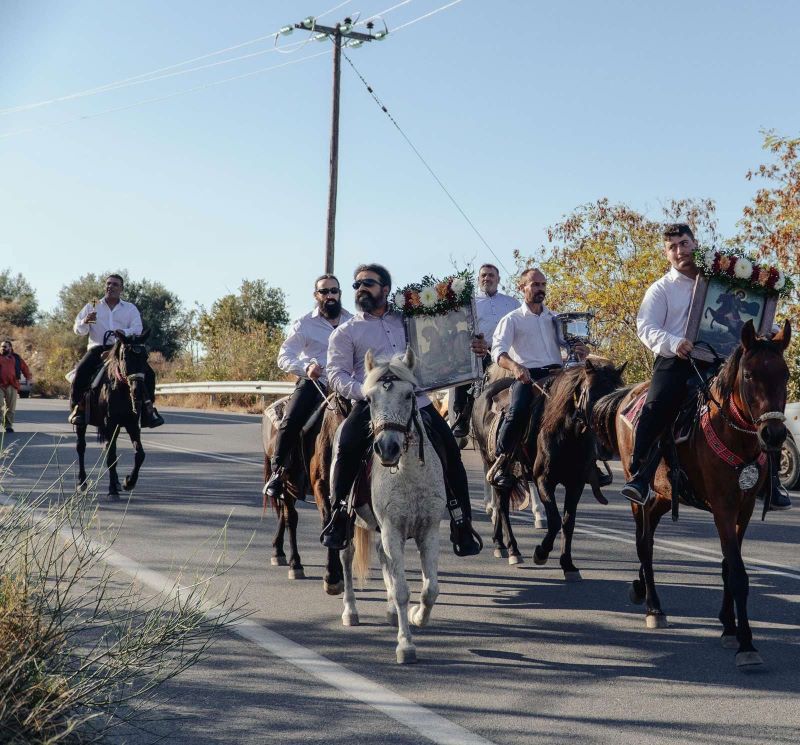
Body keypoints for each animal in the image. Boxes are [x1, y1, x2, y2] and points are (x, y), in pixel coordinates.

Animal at [340, 348, 446, 664]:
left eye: (410, 395)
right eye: (369, 399)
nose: (387, 449)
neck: (408, 474)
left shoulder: (428, 531)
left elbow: (430, 589)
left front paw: (417, 617)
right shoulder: (391, 530)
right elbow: (402, 589)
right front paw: (406, 645)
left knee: (382, 559)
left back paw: (389, 612)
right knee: (346, 557)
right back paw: (350, 610)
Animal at [592, 320, 792, 668]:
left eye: (786, 375)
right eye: (749, 375)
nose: (774, 434)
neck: (734, 436)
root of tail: (626, 396)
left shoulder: (744, 509)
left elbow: (727, 566)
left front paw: (728, 627)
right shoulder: (723, 507)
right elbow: (738, 574)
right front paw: (746, 643)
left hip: (662, 498)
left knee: (646, 541)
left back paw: (639, 588)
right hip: (639, 495)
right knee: (644, 545)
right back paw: (654, 607)